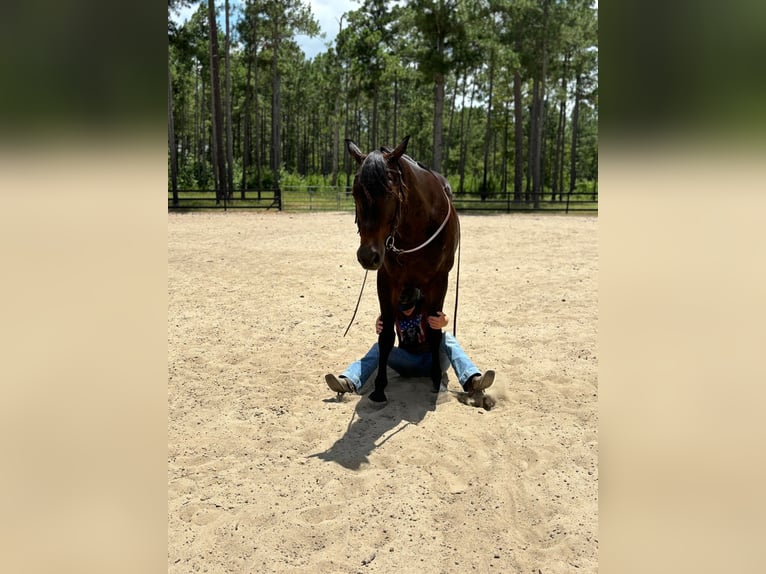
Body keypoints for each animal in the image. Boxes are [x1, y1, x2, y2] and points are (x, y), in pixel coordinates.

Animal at [345, 135, 460, 404]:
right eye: (355, 192)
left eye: (389, 193)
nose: (368, 256)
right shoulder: (387, 281)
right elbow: (386, 335)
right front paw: (379, 388)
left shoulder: (439, 281)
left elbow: (434, 330)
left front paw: (436, 379)